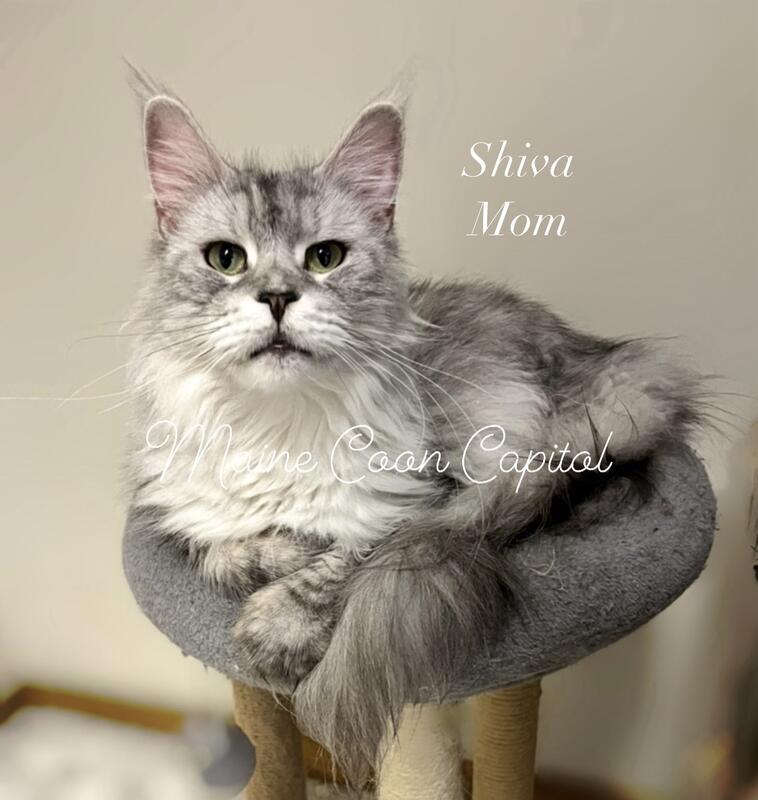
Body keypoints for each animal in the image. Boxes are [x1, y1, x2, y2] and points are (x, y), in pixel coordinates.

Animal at [126, 70, 704, 782]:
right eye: (226, 259)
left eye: (325, 258)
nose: (279, 298)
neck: (278, 424)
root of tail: (603, 358)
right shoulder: (177, 515)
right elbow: (225, 553)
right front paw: (282, 550)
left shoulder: (418, 494)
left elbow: (343, 559)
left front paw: (277, 625)